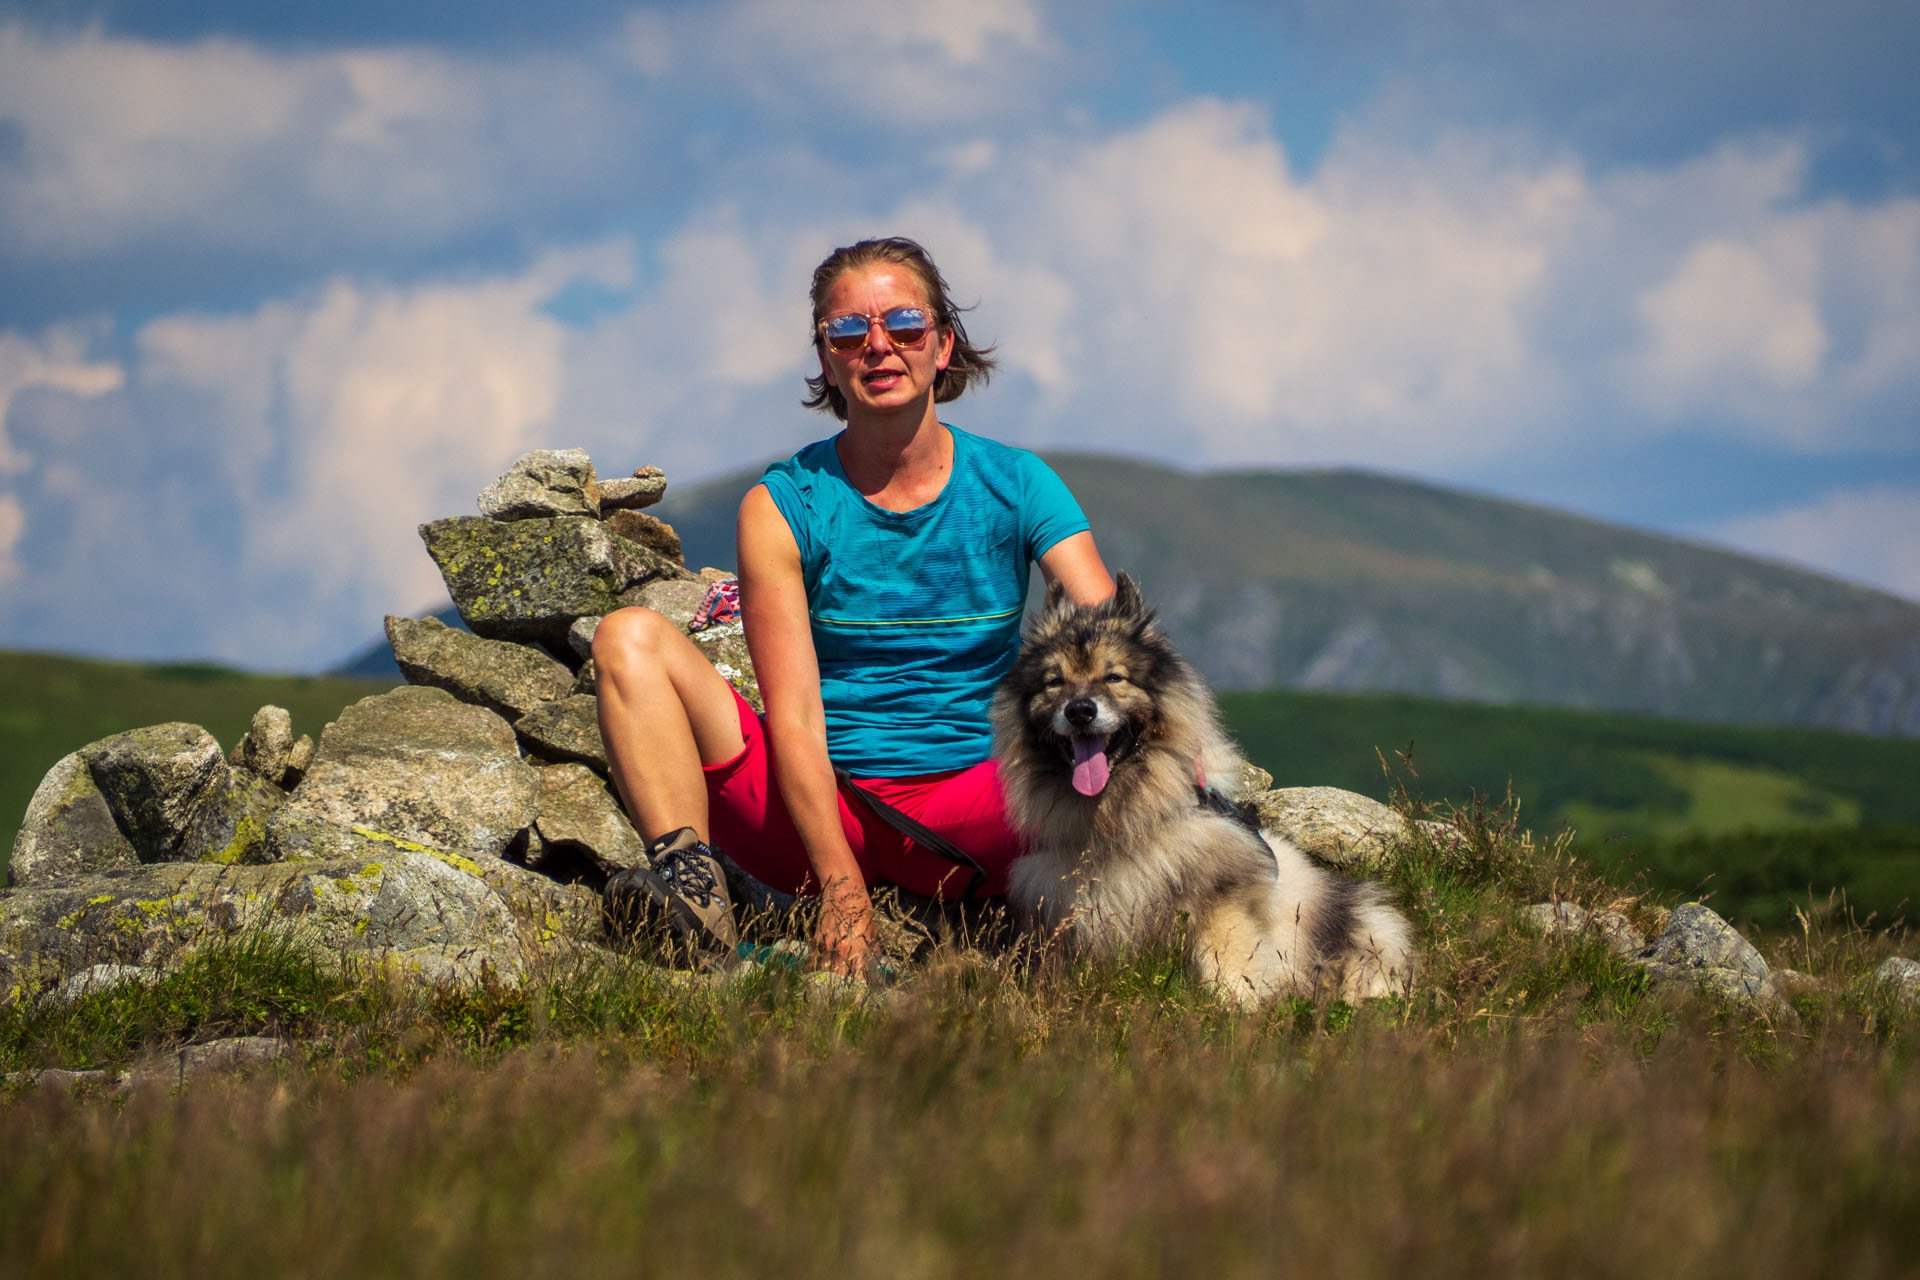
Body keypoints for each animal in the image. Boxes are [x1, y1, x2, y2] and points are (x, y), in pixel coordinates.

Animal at [998, 575, 1420, 1005]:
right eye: (1055, 682)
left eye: (1114, 677)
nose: (1080, 711)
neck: (1118, 823)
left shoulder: (1220, 895)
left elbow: (1225, 957)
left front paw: (1237, 1003)